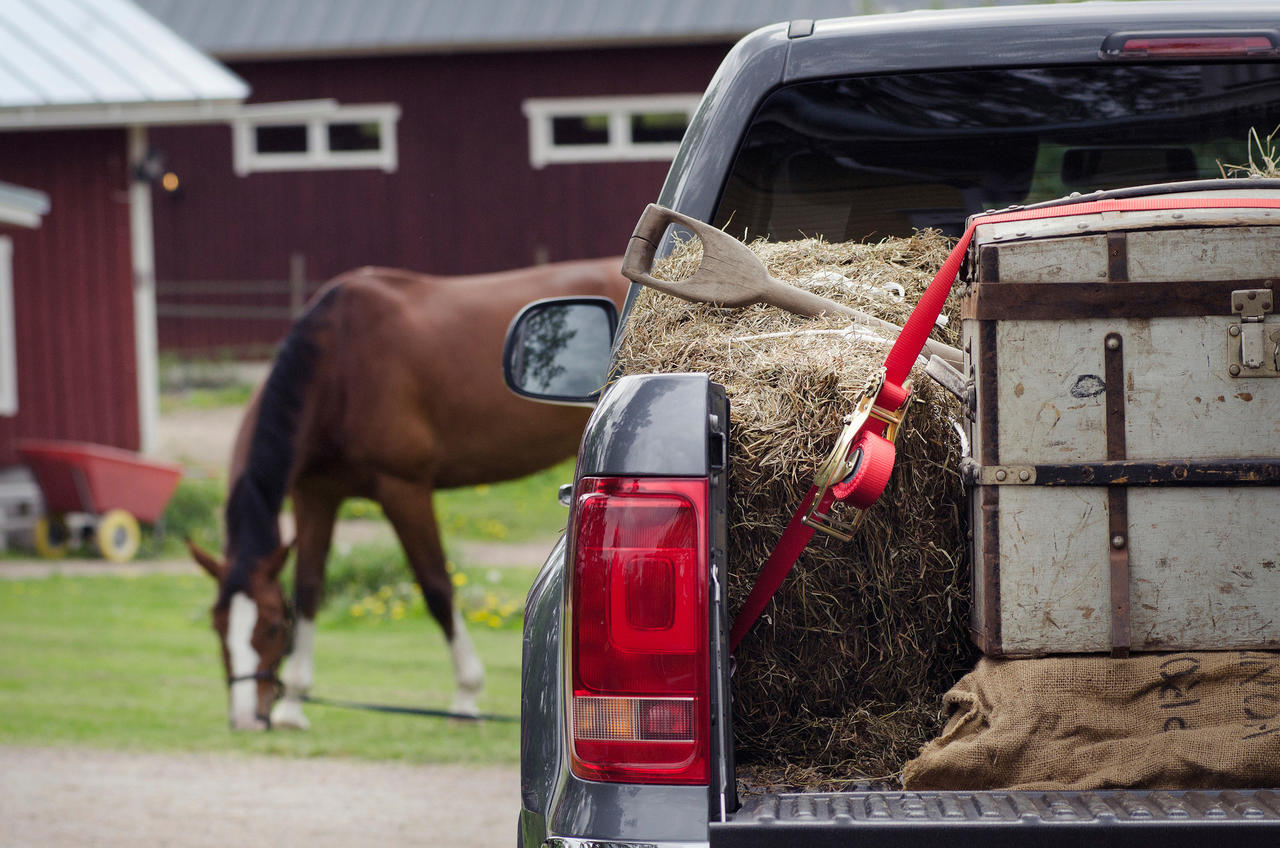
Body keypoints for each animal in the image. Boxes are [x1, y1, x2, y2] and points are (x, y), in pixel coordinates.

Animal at [186, 257, 627, 732]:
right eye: (217, 626)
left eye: (270, 625)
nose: (247, 719)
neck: (339, 363)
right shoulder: (314, 494)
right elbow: (309, 587)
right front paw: (294, 705)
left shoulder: (405, 489)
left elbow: (436, 586)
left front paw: (466, 697)